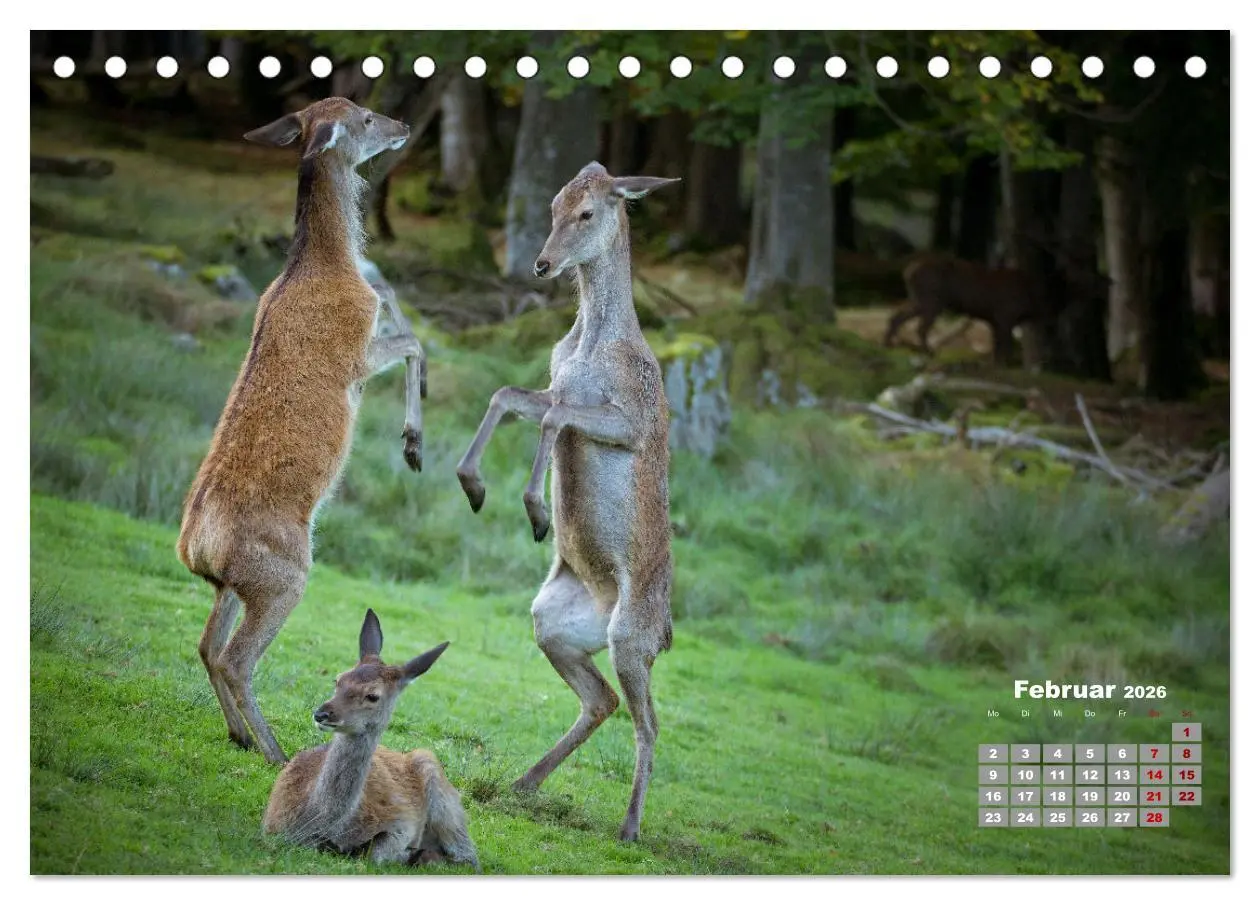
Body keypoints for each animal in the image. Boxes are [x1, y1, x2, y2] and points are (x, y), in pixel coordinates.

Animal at [177, 97, 428, 765]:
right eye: (364, 118)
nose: (402, 124)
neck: (327, 264)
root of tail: (197, 547)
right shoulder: (357, 353)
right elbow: (415, 342)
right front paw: (413, 444)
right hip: (284, 575)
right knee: (235, 658)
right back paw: (276, 751)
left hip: (230, 584)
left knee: (206, 645)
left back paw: (239, 734)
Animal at [263, 609, 479, 869]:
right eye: (338, 680)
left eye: (373, 696)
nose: (322, 713)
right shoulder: (273, 824)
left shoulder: (401, 824)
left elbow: (377, 853)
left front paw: (409, 854)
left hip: (441, 790)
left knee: (470, 857)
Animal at [455, 162, 678, 843]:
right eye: (553, 204)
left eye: (587, 213)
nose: (542, 264)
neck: (587, 348)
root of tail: (666, 634)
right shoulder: (555, 379)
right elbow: (510, 394)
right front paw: (473, 484)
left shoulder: (630, 418)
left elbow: (553, 416)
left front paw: (534, 507)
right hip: (552, 621)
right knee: (602, 699)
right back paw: (522, 783)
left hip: (631, 637)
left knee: (649, 720)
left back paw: (630, 826)